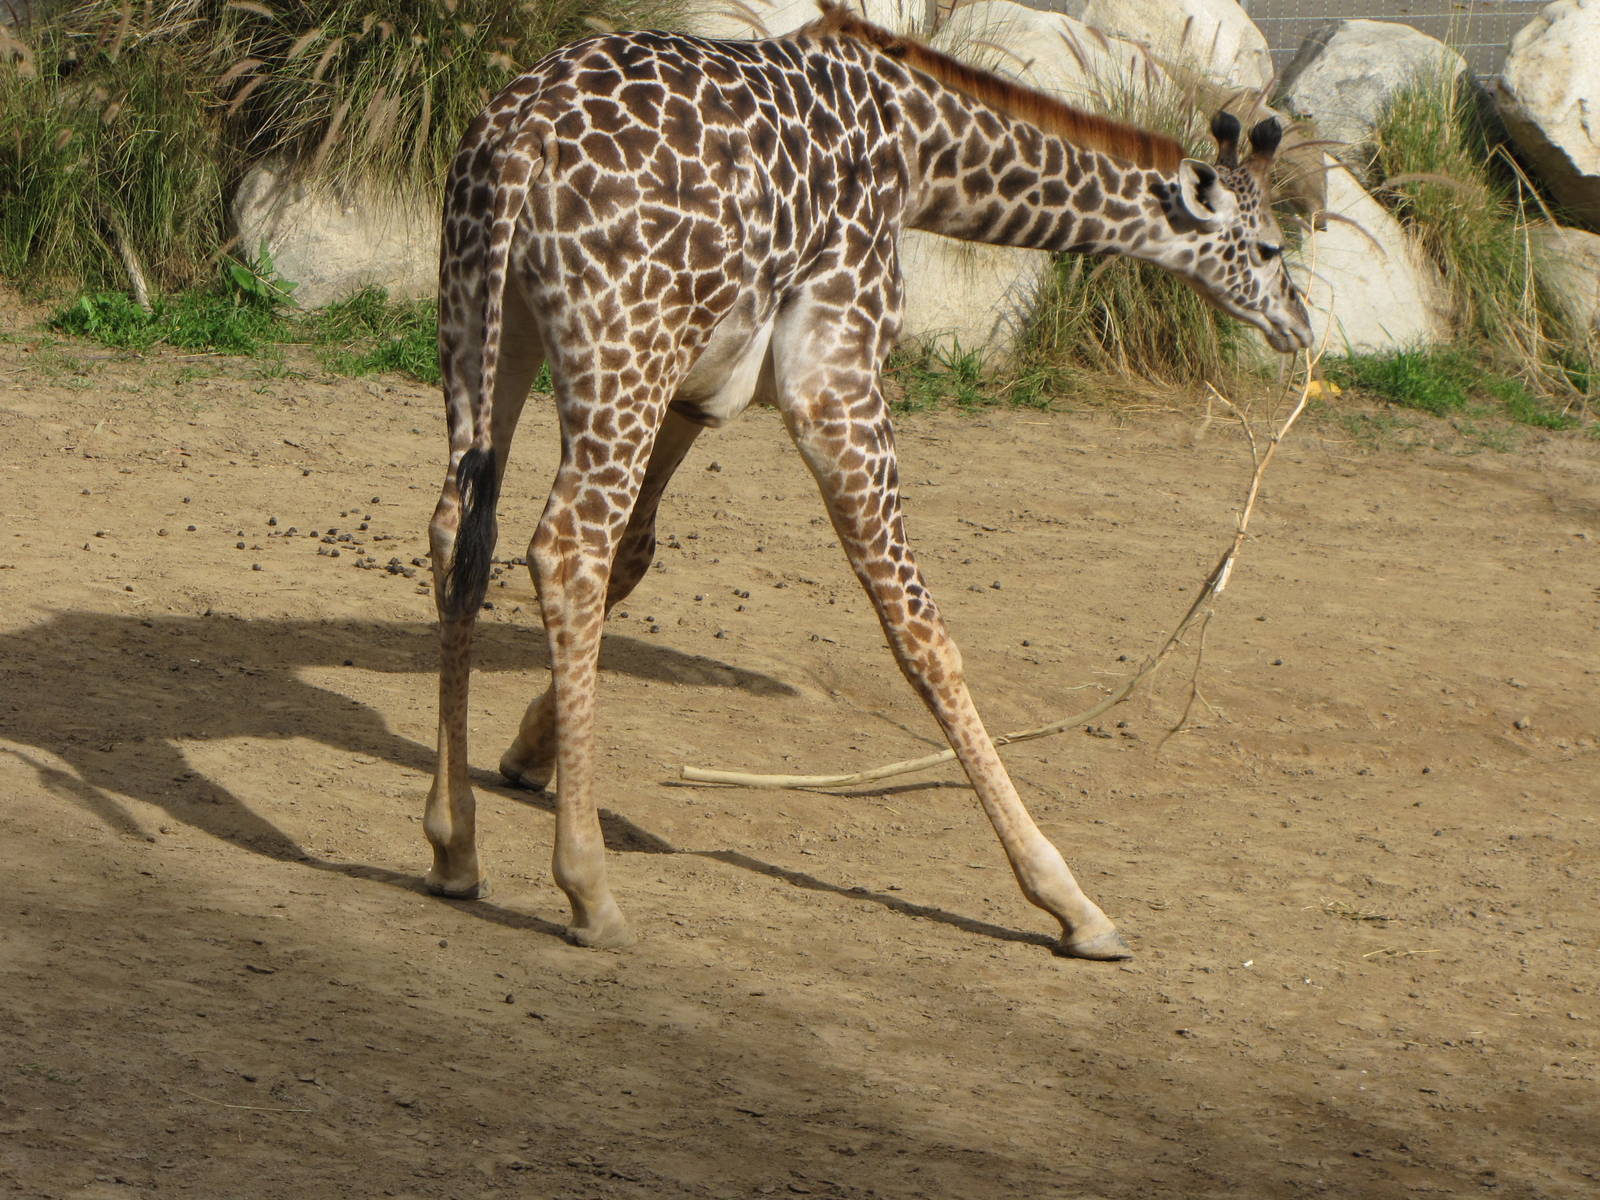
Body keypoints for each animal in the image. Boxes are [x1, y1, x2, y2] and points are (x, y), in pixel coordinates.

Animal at [422, 3, 1312, 959]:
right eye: (1269, 246)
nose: (1299, 324)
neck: (920, 151)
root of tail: (520, 141)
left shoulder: (703, 387)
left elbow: (639, 554)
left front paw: (527, 753)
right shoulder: (834, 381)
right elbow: (920, 630)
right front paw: (1071, 901)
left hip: (488, 320)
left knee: (460, 530)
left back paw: (453, 847)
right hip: (621, 348)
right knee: (565, 547)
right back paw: (590, 890)